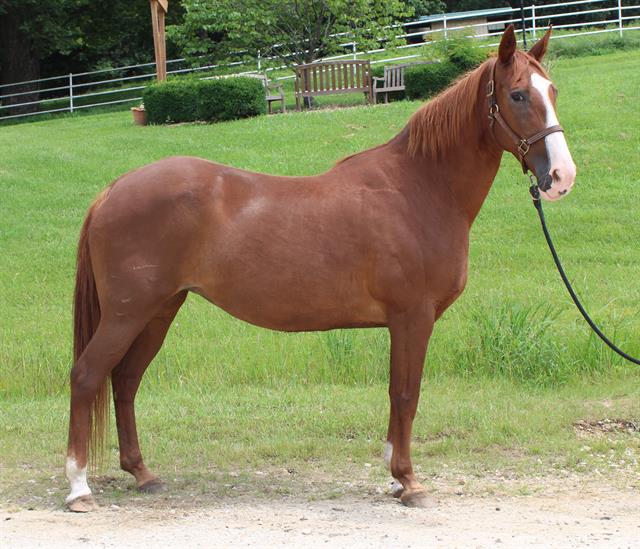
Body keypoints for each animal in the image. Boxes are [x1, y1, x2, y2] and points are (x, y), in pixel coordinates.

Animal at [63, 27, 576, 512]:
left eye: (552, 90)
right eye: (517, 95)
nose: (561, 177)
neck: (419, 188)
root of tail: (113, 190)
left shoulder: (403, 322)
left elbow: (397, 394)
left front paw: (395, 476)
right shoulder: (413, 317)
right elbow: (406, 394)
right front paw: (409, 482)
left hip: (159, 310)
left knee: (125, 381)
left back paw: (142, 473)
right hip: (128, 313)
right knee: (87, 375)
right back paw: (78, 488)